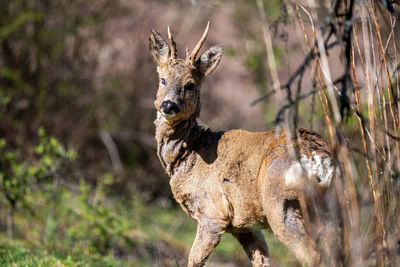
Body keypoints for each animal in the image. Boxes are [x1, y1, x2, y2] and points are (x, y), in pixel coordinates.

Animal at [148, 23, 342, 267]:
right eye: (163, 79)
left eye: (190, 85)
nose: (168, 105)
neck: (191, 154)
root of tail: (320, 159)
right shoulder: (244, 224)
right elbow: (261, 260)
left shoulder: (213, 214)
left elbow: (194, 260)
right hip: (331, 206)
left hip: (281, 202)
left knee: (311, 254)